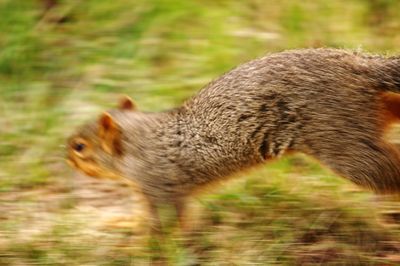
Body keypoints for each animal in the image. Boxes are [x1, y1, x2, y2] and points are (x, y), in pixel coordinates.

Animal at [67, 47, 400, 233]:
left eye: (80, 147)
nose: (67, 159)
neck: (141, 140)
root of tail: (358, 64)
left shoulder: (160, 187)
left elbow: (162, 226)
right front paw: (122, 224)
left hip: (340, 135)